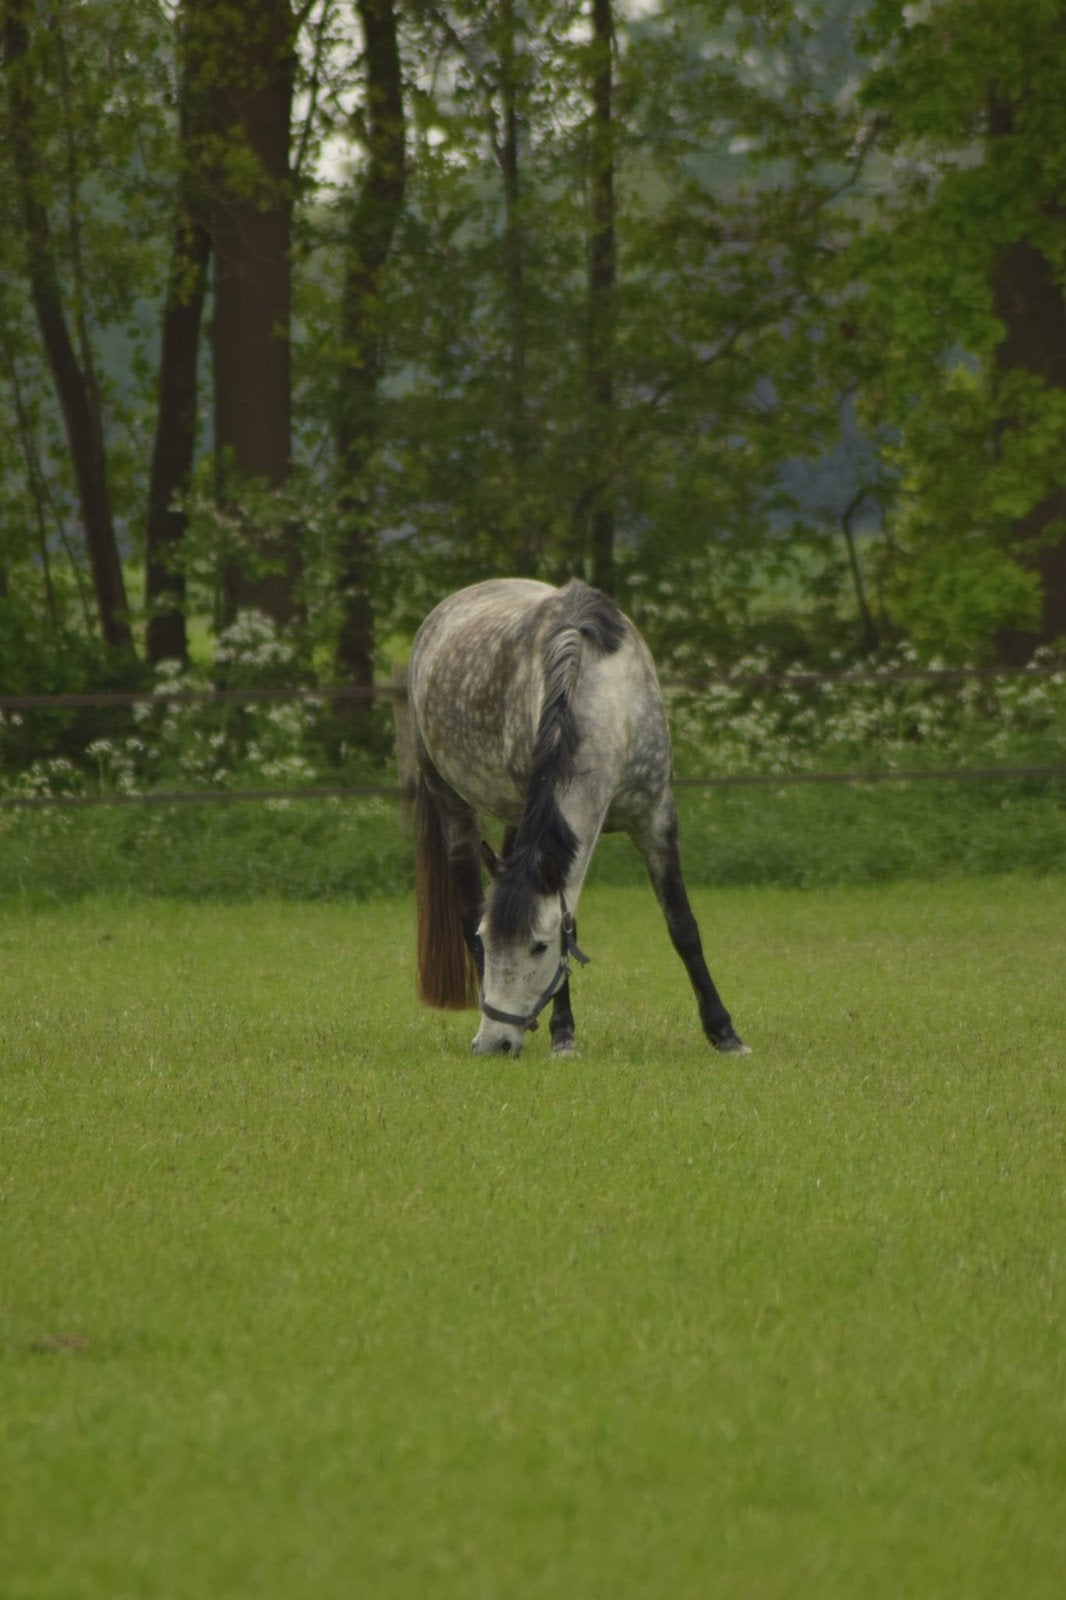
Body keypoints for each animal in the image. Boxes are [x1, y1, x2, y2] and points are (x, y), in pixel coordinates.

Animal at [408, 577, 748, 1059]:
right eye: (487, 940)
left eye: (539, 946)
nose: (493, 1044)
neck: (608, 700)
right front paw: (563, 1034)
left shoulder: (656, 820)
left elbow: (683, 927)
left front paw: (725, 1033)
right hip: (450, 798)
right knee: (466, 904)